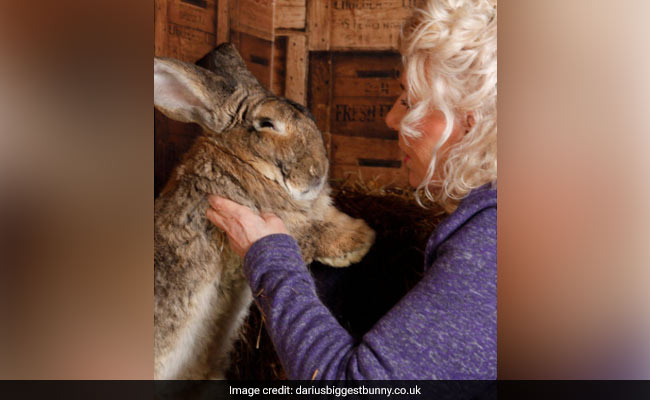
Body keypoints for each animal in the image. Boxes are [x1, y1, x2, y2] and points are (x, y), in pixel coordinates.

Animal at [154, 44, 376, 380]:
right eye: (267, 124)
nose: (317, 172)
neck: (241, 163)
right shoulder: (271, 218)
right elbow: (313, 233)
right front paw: (360, 241)